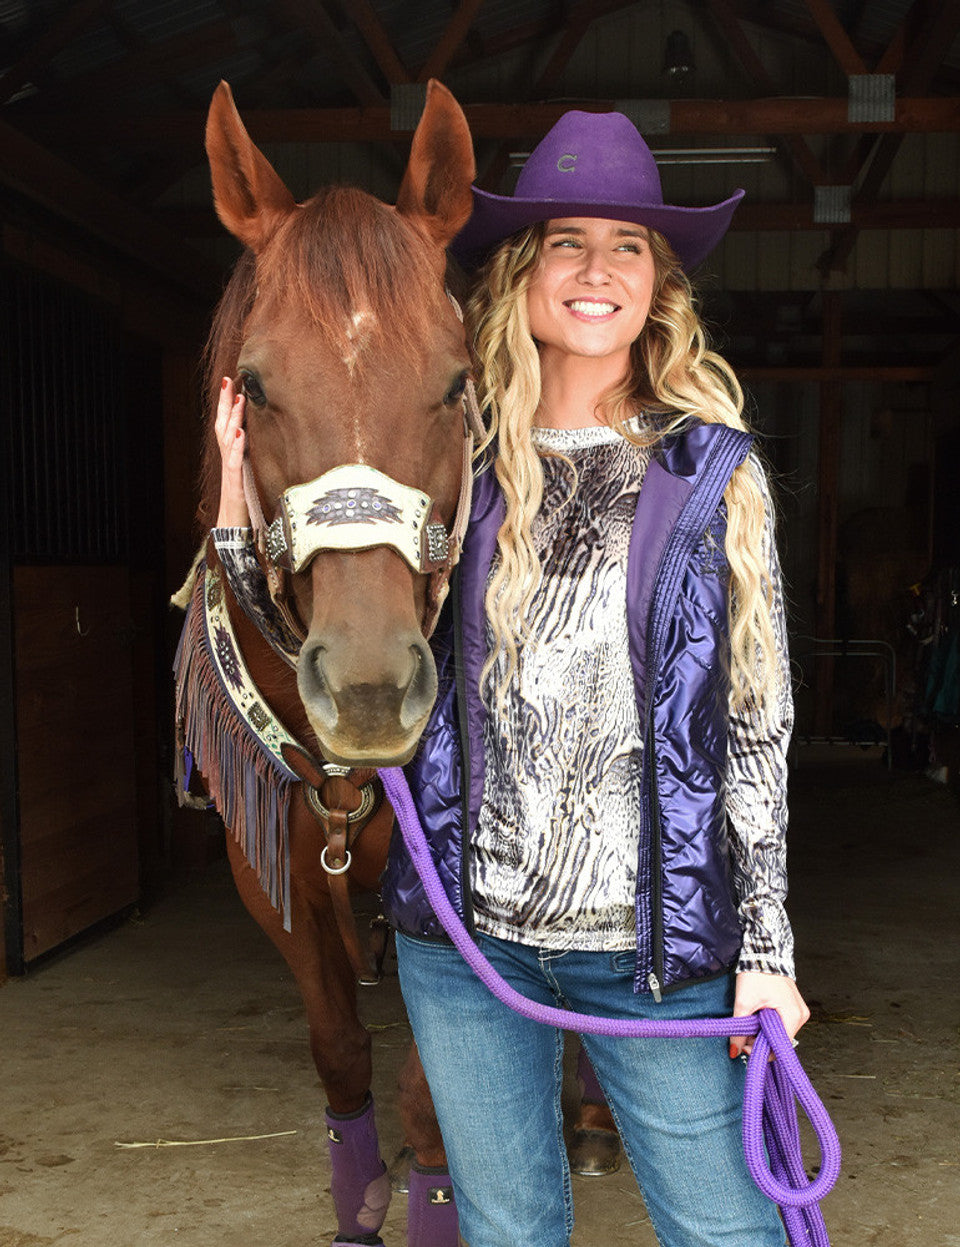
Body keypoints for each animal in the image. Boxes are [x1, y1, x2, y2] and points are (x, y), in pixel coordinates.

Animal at [174, 80, 473, 1247]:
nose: (369, 693)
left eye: (456, 382)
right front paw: (358, 1211)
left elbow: (434, 1104)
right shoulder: (278, 877)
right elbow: (342, 1054)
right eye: (253, 385)